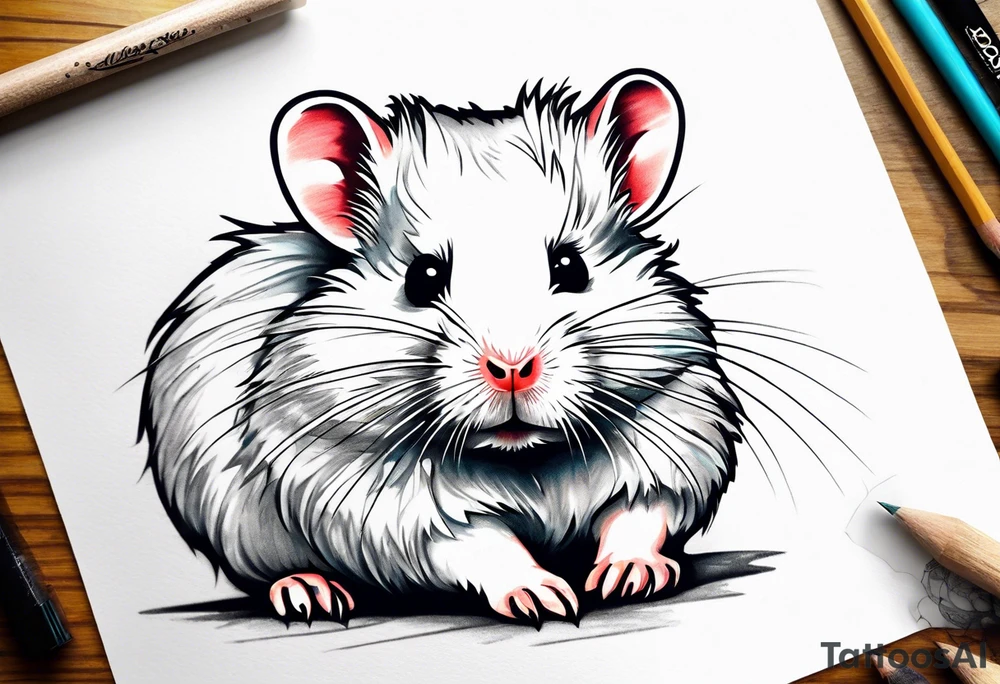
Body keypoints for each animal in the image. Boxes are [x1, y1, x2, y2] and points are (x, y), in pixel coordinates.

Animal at [140, 68, 745, 625]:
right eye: (423, 277)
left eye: (571, 266)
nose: (512, 369)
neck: (524, 460)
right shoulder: (388, 504)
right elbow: (479, 541)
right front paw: (545, 600)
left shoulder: (675, 433)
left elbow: (640, 512)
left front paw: (630, 579)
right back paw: (310, 595)